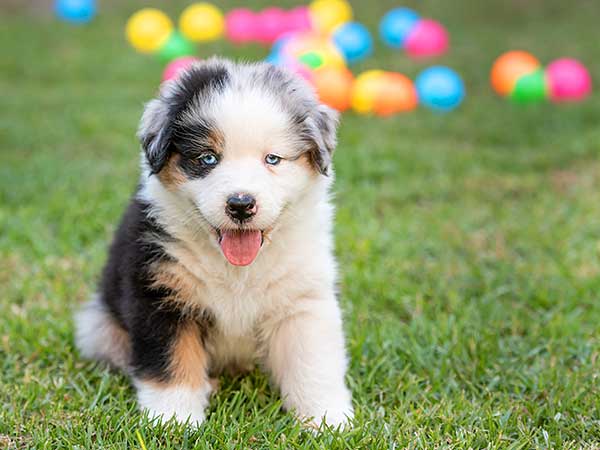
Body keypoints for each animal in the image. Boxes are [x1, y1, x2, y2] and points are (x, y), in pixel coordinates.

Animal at [77, 58, 354, 428]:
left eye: (273, 159)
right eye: (207, 158)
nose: (240, 204)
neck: (237, 270)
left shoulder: (303, 298)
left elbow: (313, 363)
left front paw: (328, 422)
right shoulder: (160, 293)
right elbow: (172, 362)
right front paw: (174, 419)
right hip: (100, 325)